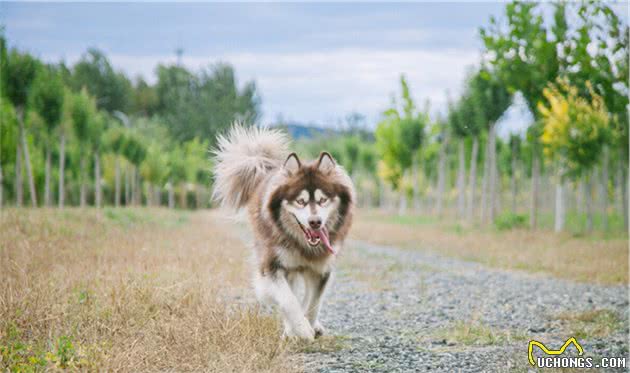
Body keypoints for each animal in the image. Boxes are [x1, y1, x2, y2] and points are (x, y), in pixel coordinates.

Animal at [212, 125, 356, 340]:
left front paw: (309, 324)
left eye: (322, 200)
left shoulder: (321, 269)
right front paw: (301, 329)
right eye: (300, 201)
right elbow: (288, 301)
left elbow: (313, 302)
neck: (304, 246)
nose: (315, 222)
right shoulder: (271, 267)